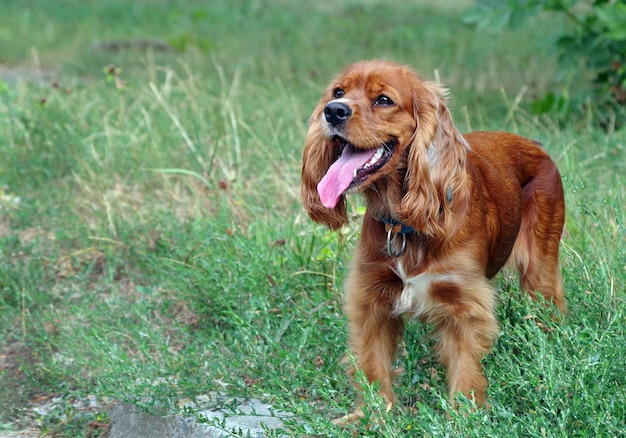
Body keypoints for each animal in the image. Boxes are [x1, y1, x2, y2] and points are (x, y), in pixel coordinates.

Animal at [298, 60, 564, 420]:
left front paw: (464, 419)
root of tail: (535, 144)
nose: (333, 111)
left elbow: (466, 370)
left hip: (540, 271)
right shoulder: (370, 297)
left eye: (383, 100)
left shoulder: (466, 304)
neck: (403, 224)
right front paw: (370, 417)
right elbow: (372, 365)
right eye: (338, 92)